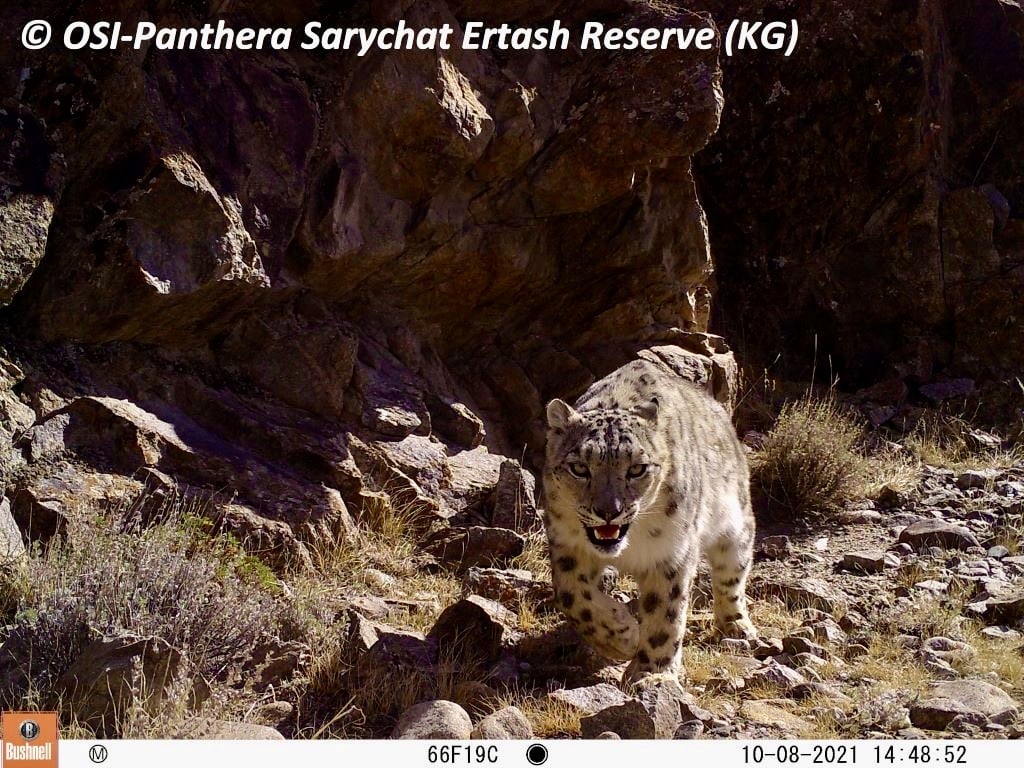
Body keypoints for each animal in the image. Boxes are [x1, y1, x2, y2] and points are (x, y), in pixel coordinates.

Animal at [544, 358, 761, 684]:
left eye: (637, 469)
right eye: (579, 467)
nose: (608, 511)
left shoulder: (671, 553)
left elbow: (665, 613)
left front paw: (651, 674)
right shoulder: (567, 545)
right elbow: (573, 597)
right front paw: (623, 635)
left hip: (736, 523)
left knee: (732, 574)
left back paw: (737, 626)